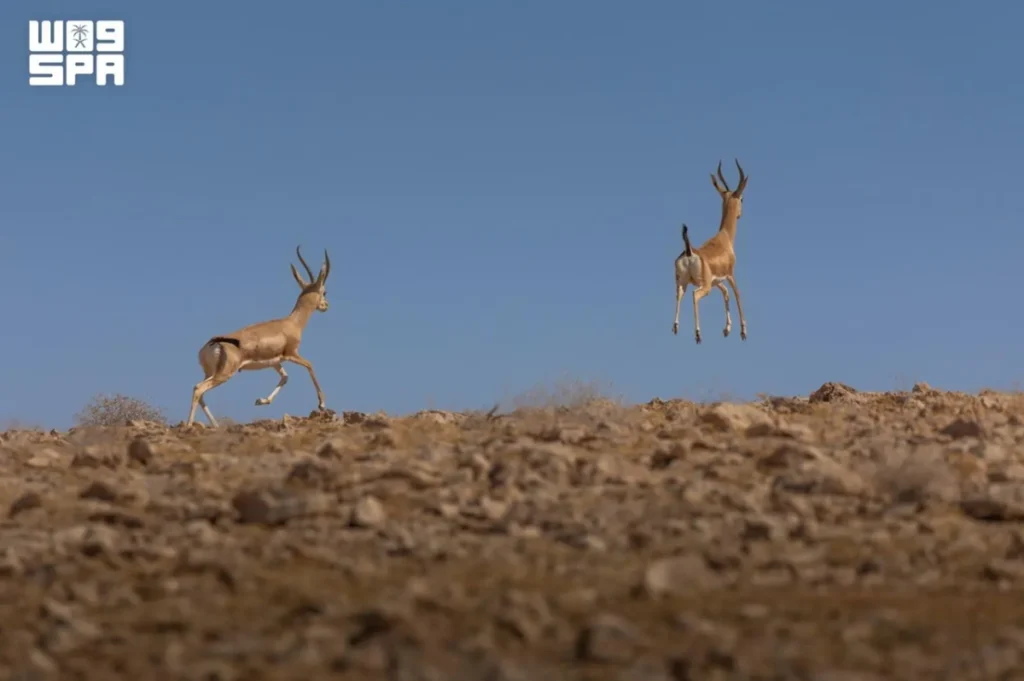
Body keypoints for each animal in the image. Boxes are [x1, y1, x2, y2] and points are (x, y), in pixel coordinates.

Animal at [186, 246, 332, 427]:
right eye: (324, 291)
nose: (325, 305)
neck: (292, 322)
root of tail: (213, 343)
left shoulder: (275, 362)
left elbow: (285, 378)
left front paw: (261, 400)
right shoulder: (291, 354)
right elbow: (310, 365)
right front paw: (322, 404)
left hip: (211, 373)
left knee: (199, 390)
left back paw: (216, 425)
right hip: (224, 374)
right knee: (199, 389)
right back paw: (189, 425)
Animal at [672, 159, 749, 344]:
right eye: (742, 199)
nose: (739, 214)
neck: (725, 238)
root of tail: (689, 251)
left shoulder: (717, 281)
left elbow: (726, 294)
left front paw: (727, 329)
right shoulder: (730, 275)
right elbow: (737, 294)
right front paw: (743, 331)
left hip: (682, 283)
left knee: (679, 295)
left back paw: (676, 327)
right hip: (703, 286)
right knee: (695, 296)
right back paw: (698, 333)